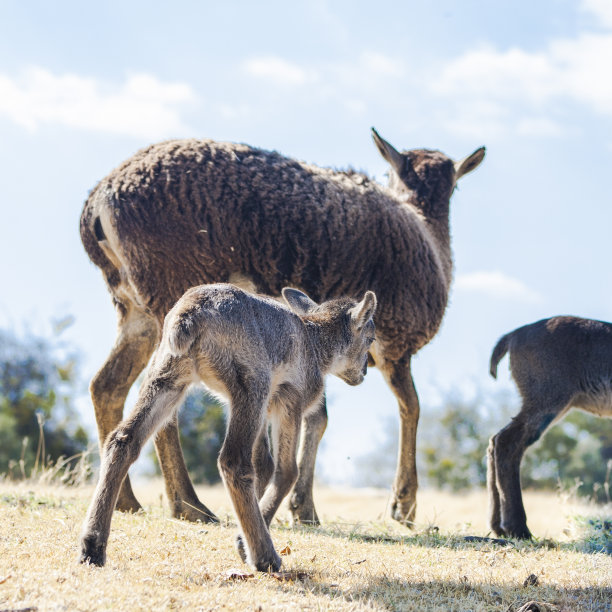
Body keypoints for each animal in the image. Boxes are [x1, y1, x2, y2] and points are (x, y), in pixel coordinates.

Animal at [79, 128, 486, 524]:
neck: (428, 232)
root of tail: (96, 204)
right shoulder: (395, 345)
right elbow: (409, 408)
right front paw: (401, 505)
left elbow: (318, 417)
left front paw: (301, 506)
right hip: (169, 291)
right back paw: (189, 505)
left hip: (136, 312)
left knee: (107, 386)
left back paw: (128, 502)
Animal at [79, 284, 376, 572]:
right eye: (371, 338)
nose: (363, 373)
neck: (316, 346)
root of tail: (190, 314)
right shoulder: (289, 399)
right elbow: (285, 470)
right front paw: (244, 543)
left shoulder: (260, 410)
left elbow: (264, 464)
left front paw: (245, 531)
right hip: (251, 382)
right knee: (234, 461)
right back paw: (266, 558)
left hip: (167, 373)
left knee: (123, 440)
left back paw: (92, 548)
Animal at [488, 318, 612, 536]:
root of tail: (514, 334)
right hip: (547, 397)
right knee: (506, 442)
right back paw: (518, 528)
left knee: (495, 440)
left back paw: (498, 527)